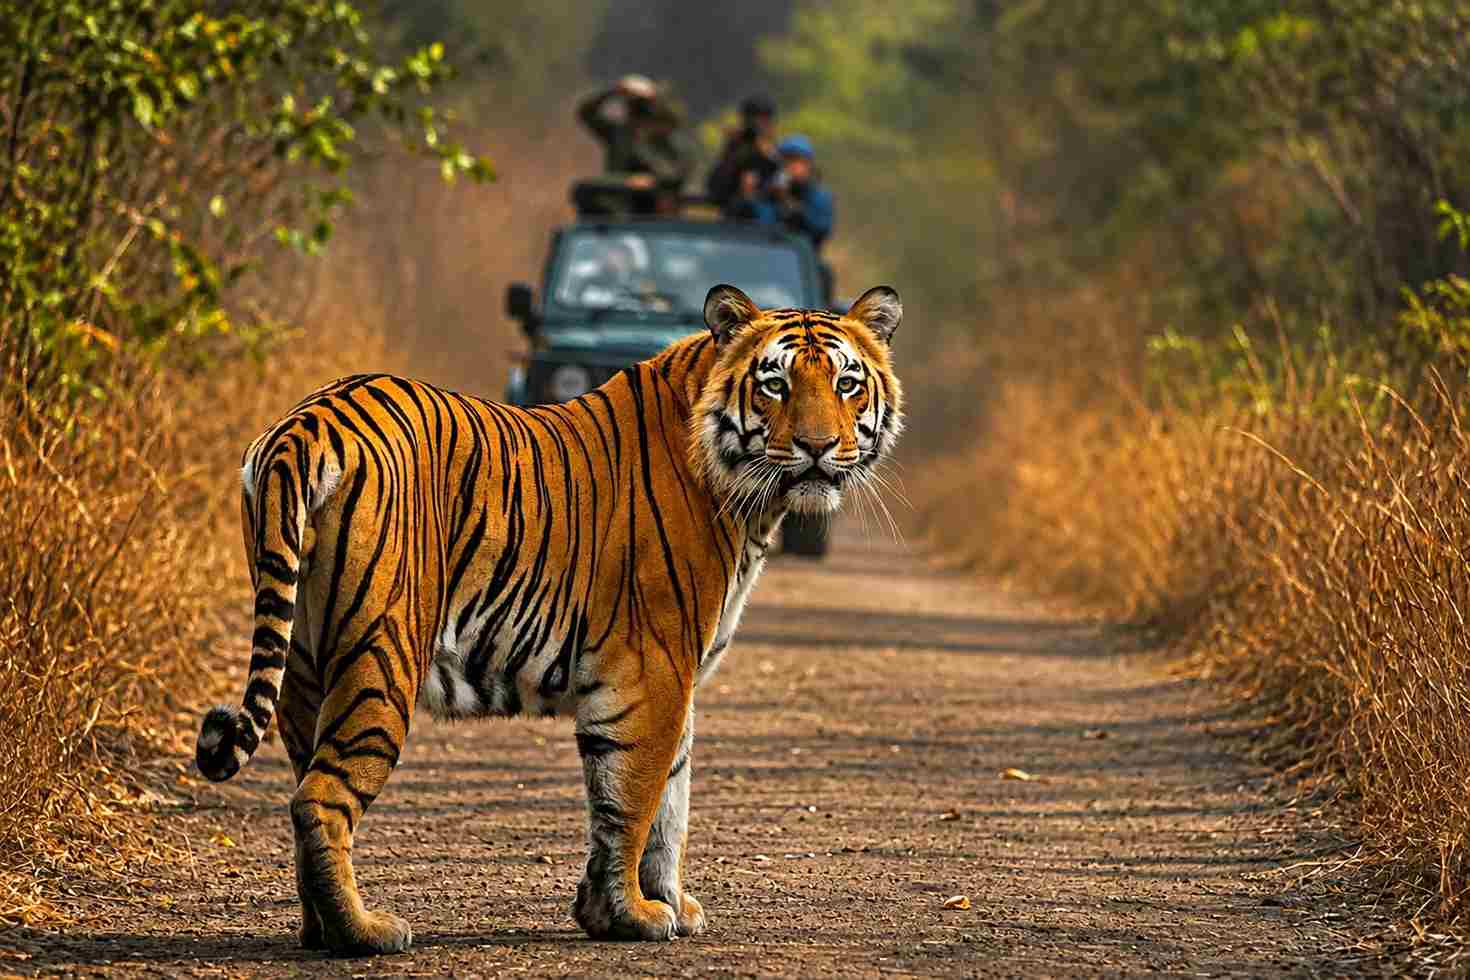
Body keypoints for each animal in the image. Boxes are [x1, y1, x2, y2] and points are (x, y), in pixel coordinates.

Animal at [194, 283, 904, 955]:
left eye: (846, 383)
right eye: (774, 383)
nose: (818, 448)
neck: (750, 502)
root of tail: (309, 422)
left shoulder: (674, 680)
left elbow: (666, 801)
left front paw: (653, 905)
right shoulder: (653, 671)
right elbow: (636, 801)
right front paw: (634, 915)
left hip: (303, 661)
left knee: (302, 782)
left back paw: (318, 928)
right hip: (383, 654)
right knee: (319, 798)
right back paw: (362, 933)